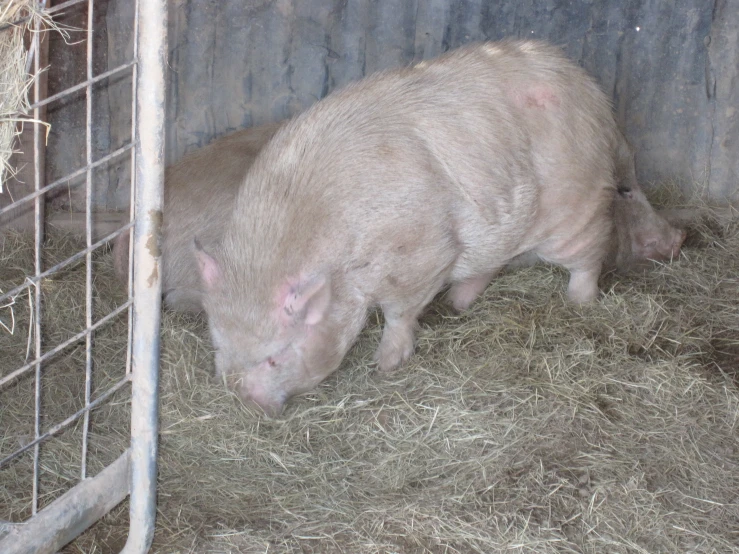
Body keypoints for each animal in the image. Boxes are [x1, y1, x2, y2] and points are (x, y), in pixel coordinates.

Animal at [192, 40, 632, 414]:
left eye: (274, 357)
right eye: (217, 340)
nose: (246, 404)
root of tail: (593, 94)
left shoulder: (420, 252)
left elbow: (400, 312)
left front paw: (385, 365)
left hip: (577, 206)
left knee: (592, 253)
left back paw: (579, 302)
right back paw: (458, 302)